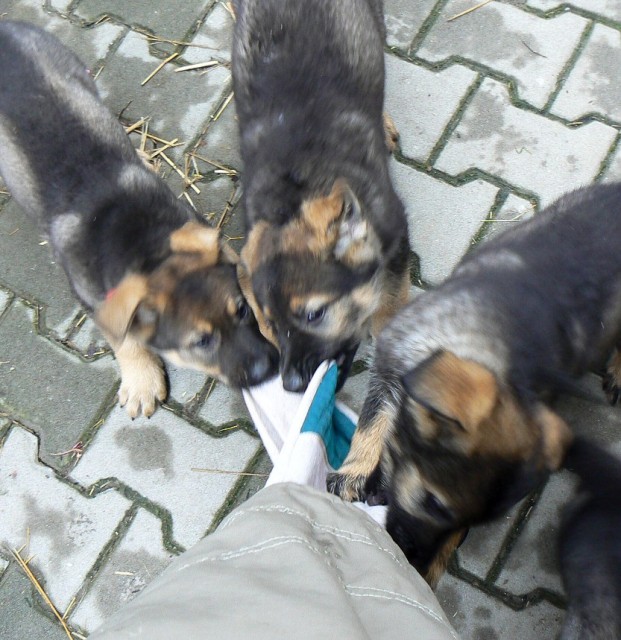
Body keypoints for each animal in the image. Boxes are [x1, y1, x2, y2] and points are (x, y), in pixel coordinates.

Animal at [0, 20, 278, 417]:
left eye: (241, 310)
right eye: (201, 341)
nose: (267, 369)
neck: (139, 244)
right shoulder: (93, 297)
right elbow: (123, 337)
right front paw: (141, 379)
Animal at [231, 0, 410, 392]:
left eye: (315, 314)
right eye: (270, 324)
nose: (291, 384)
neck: (293, 194)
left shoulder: (396, 233)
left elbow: (389, 304)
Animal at [330, 182, 621, 586]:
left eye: (471, 523)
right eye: (433, 502)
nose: (415, 565)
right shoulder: (390, 367)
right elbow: (374, 420)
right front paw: (356, 471)